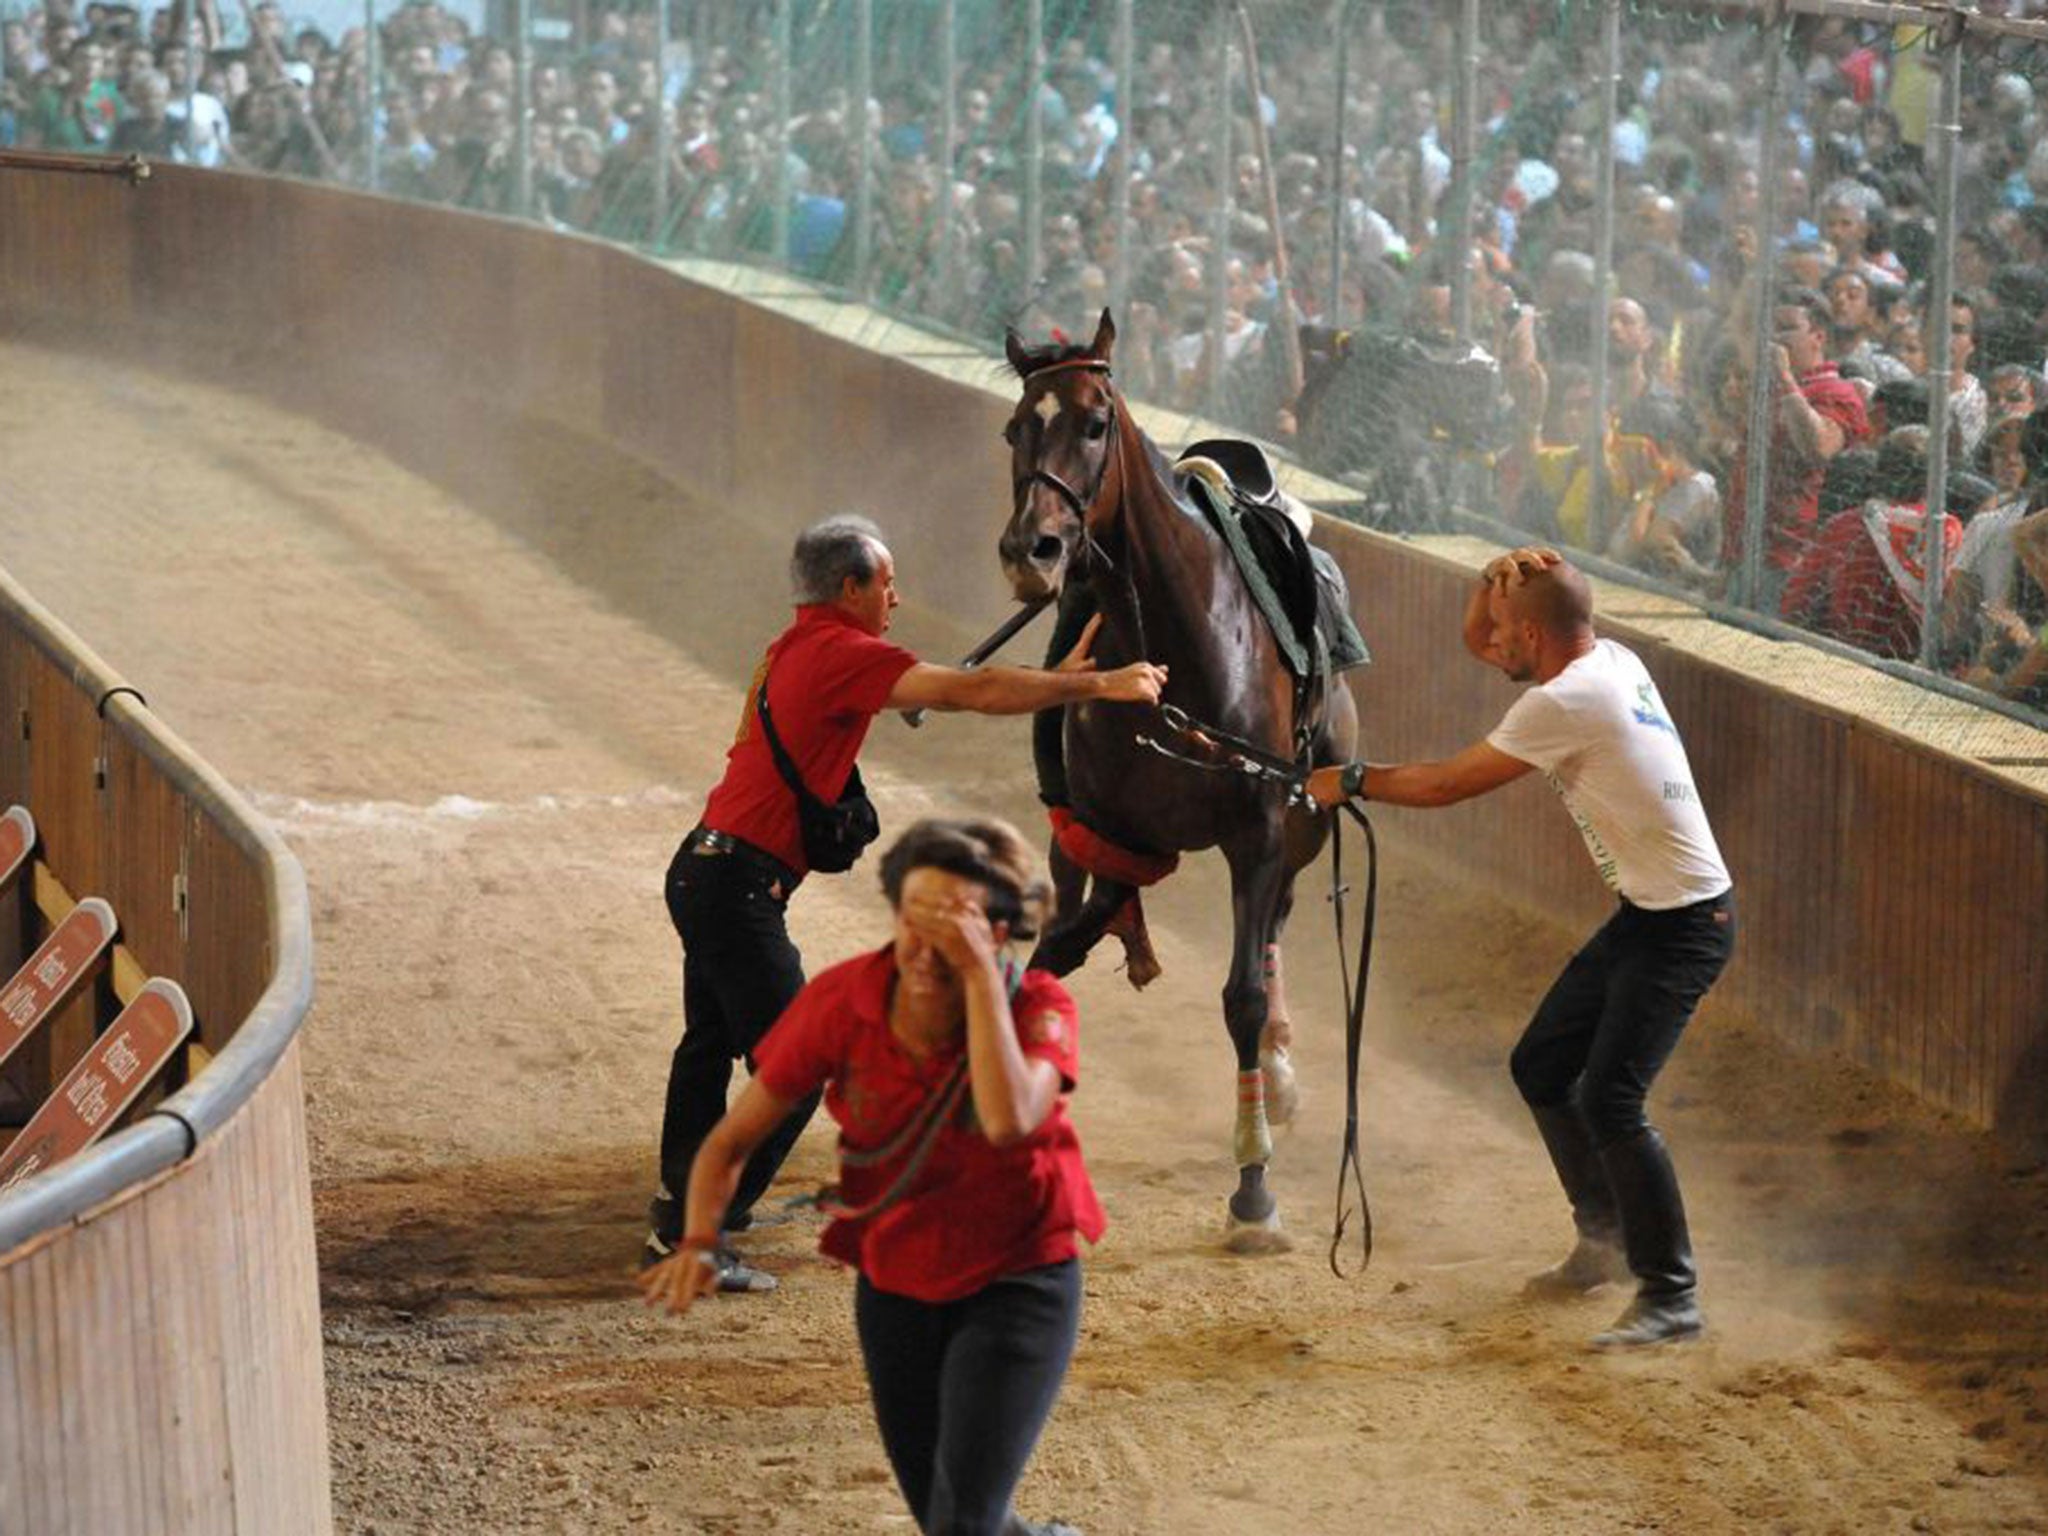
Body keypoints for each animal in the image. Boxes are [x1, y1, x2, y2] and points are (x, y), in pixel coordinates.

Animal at [995, 313, 1351, 1253]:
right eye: (1016, 428)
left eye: (1094, 423)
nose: (1032, 549)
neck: (1185, 645)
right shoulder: (1109, 831)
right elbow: (1057, 950)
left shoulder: (1261, 832)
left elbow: (1243, 997)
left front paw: (1255, 1185)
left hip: (1305, 827)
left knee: (1276, 930)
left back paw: (1282, 1071)